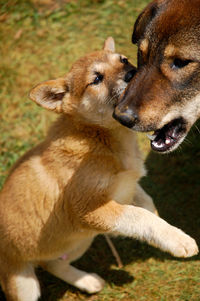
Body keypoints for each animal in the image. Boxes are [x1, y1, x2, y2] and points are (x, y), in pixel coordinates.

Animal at [0, 36, 198, 298]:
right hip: (24, 285)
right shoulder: (88, 210)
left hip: (78, 242)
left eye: (123, 60)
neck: (100, 138)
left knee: (51, 263)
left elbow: (147, 204)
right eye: (96, 79)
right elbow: (140, 216)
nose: (132, 73)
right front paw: (177, 239)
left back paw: (87, 281)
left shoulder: (126, 187)